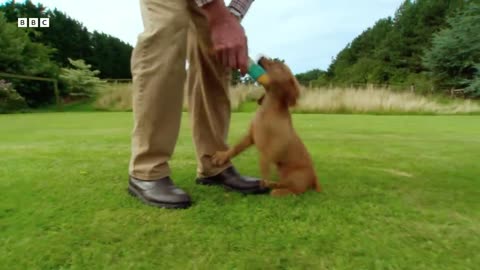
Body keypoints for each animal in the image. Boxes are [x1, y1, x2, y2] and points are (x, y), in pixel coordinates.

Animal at [212, 57, 320, 196]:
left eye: (278, 65)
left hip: (293, 176)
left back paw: (276, 190)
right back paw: (273, 185)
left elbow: (264, 163)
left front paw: (263, 181)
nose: (261, 58)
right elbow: (236, 147)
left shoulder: (269, 148)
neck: (268, 108)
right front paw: (222, 156)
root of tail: (314, 177)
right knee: (284, 184)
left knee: (295, 190)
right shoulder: (251, 136)